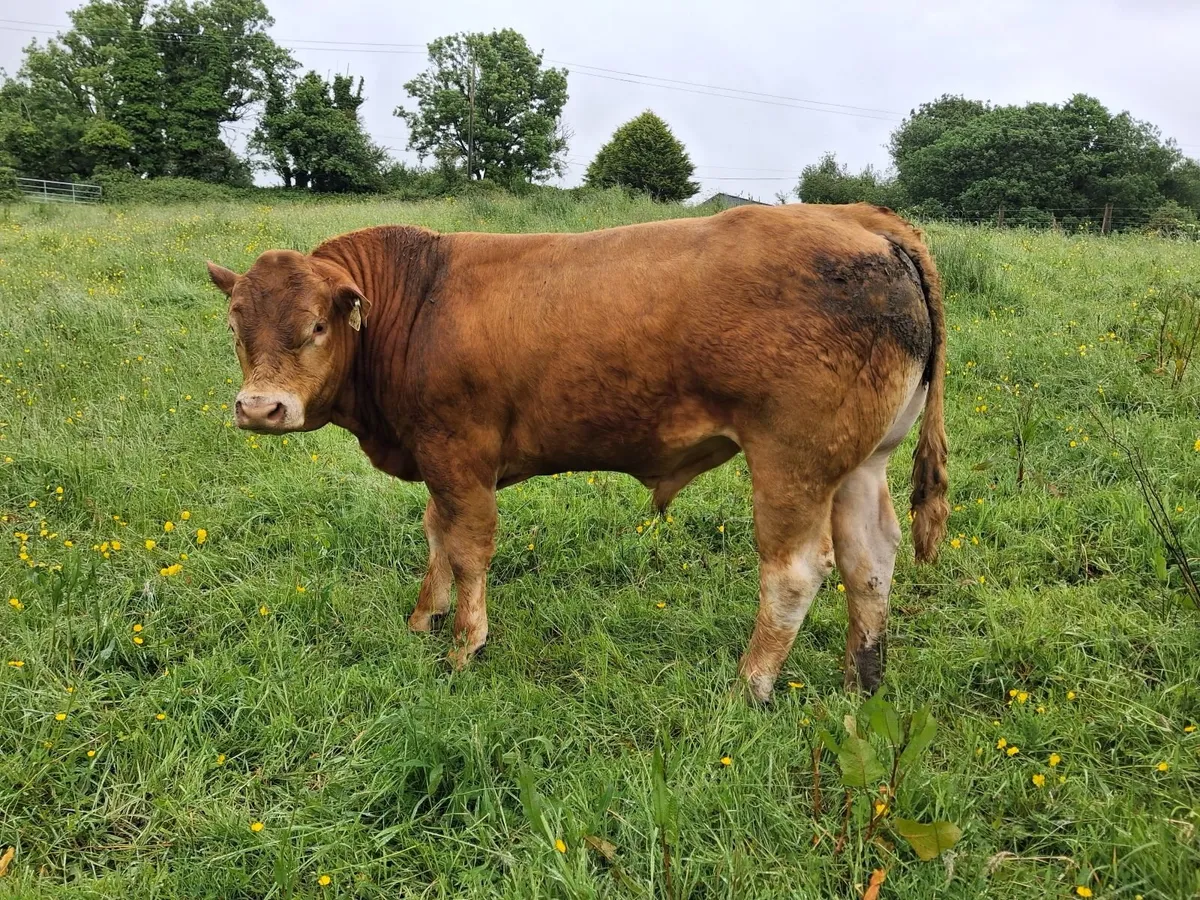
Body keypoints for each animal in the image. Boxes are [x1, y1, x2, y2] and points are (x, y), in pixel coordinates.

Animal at [206, 202, 948, 702]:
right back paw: (862, 677)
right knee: (868, 560)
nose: (260, 407)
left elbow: (467, 547)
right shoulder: (438, 460)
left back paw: (751, 683)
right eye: (237, 326)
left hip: (792, 461)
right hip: (860, 462)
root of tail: (861, 219)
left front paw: (463, 645)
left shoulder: (459, 454)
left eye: (316, 325)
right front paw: (424, 618)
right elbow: (436, 534)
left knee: (796, 570)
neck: (416, 301)